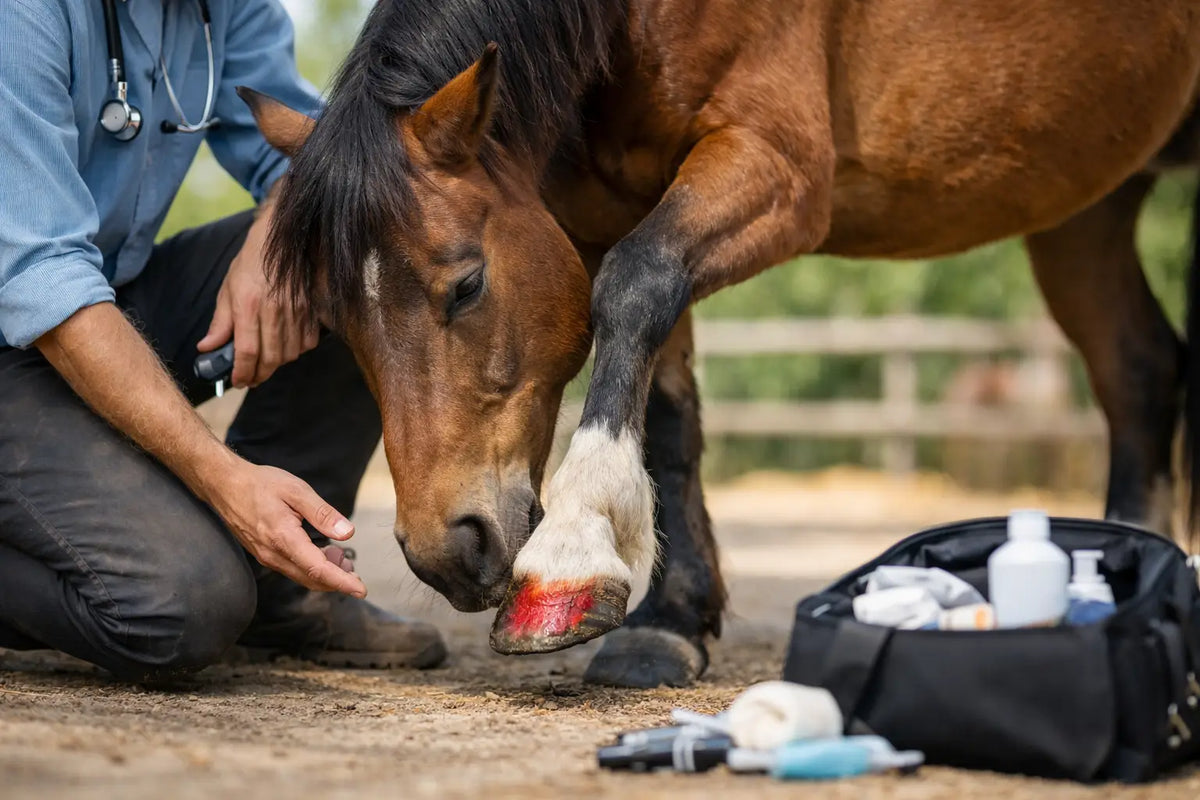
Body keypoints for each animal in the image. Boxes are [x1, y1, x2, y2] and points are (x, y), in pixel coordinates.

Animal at [239, 0, 1200, 688]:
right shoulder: (611, 201)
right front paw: (669, 626)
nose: (446, 551)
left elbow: (633, 290)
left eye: (466, 284)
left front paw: (572, 564)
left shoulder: (773, 164)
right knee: (1141, 370)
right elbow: (662, 396)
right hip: (1087, 207)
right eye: (334, 322)